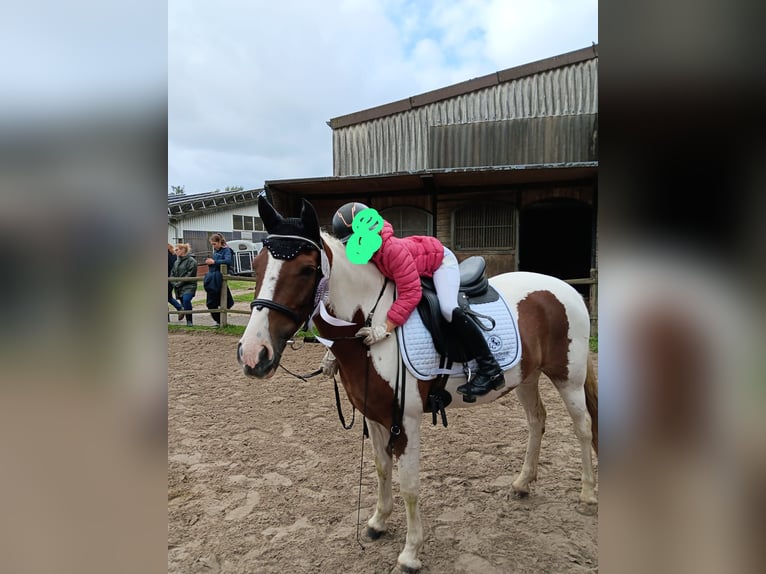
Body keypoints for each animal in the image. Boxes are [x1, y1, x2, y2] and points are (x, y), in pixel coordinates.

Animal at [237, 196, 598, 573]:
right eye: (257, 265)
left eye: (306, 269)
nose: (253, 354)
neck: (369, 328)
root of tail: (566, 288)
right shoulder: (374, 416)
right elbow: (381, 469)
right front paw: (378, 522)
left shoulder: (405, 421)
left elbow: (409, 486)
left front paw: (411, 553)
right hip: (527, 376)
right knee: (537, 421)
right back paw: (523, 484)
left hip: (568, 378)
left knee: (583, 427)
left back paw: (588, 495)